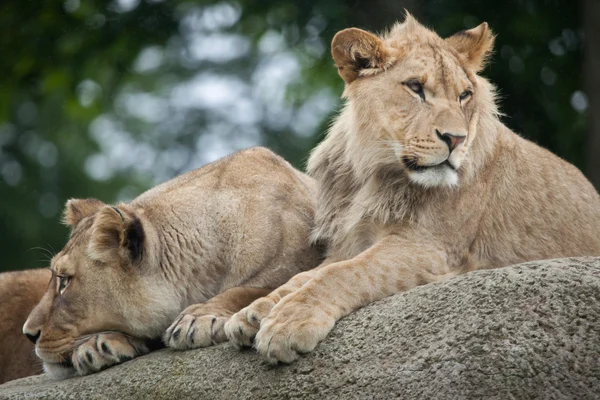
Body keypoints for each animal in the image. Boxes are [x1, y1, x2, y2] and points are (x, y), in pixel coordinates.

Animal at [224, 14, 600, 362]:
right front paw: (253, 312)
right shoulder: (350, 241)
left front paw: (288, 321)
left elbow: (344, 273)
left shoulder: (430, 247)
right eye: (415, 87)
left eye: (464, 95)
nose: (456, 139)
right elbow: (305, 275)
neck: (373, 172)